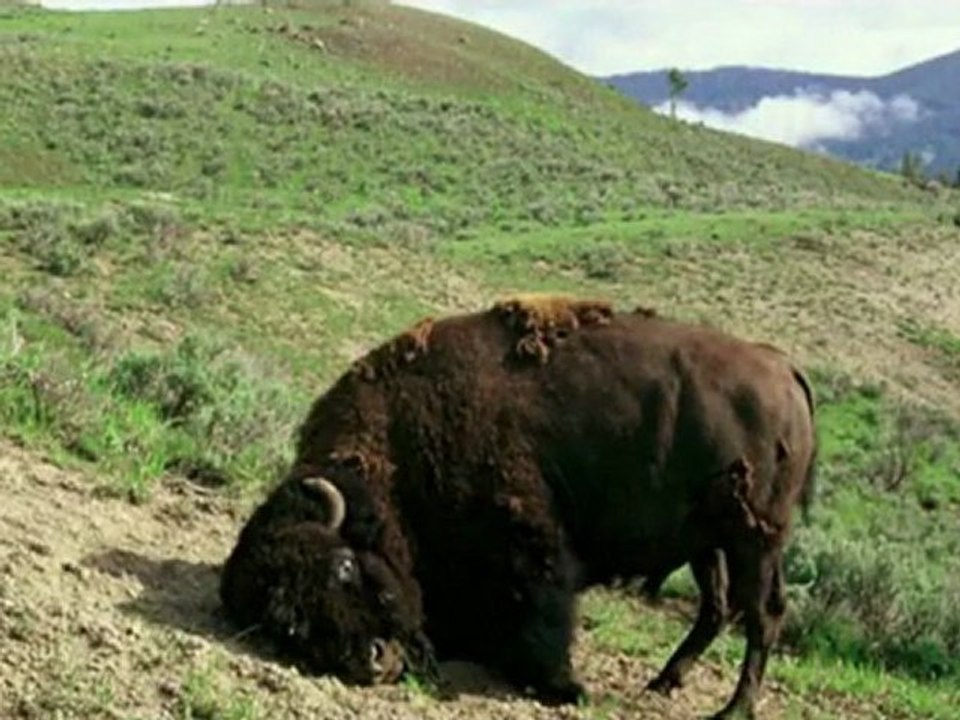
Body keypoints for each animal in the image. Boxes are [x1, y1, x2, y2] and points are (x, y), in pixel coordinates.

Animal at [220, 294, 816, 719]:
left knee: (762, 614)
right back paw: (663, 683)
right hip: (709, 541)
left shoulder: (531, 546)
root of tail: (784, 368)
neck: (399, 446)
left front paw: (566, 689)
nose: (372, 658)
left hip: (755, 537)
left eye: (343, 566)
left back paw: (732, 710)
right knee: (717, 608)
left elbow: (543, 617)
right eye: (289, 623)